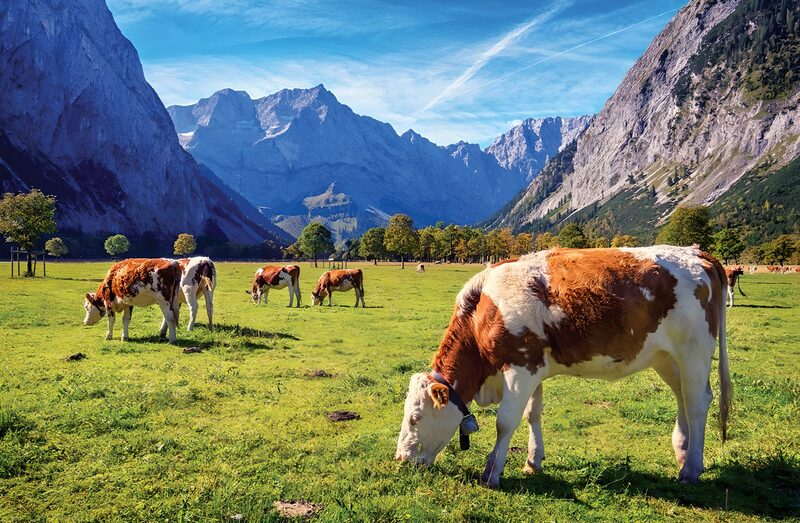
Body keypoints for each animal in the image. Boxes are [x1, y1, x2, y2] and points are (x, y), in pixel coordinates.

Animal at [396, 246, 732, 488]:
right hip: (667, 358)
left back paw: (691, 470)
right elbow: (532, 414)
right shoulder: (534, 366)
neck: (485, 311)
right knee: (683, 397)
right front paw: (533, 461)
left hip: (694, 351)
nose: (400, 458)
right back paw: (683, 452)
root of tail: (697, 253)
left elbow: (505, 422)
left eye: (415, 418)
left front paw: (492, 472)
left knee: (698, 402)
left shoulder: (520, 367)